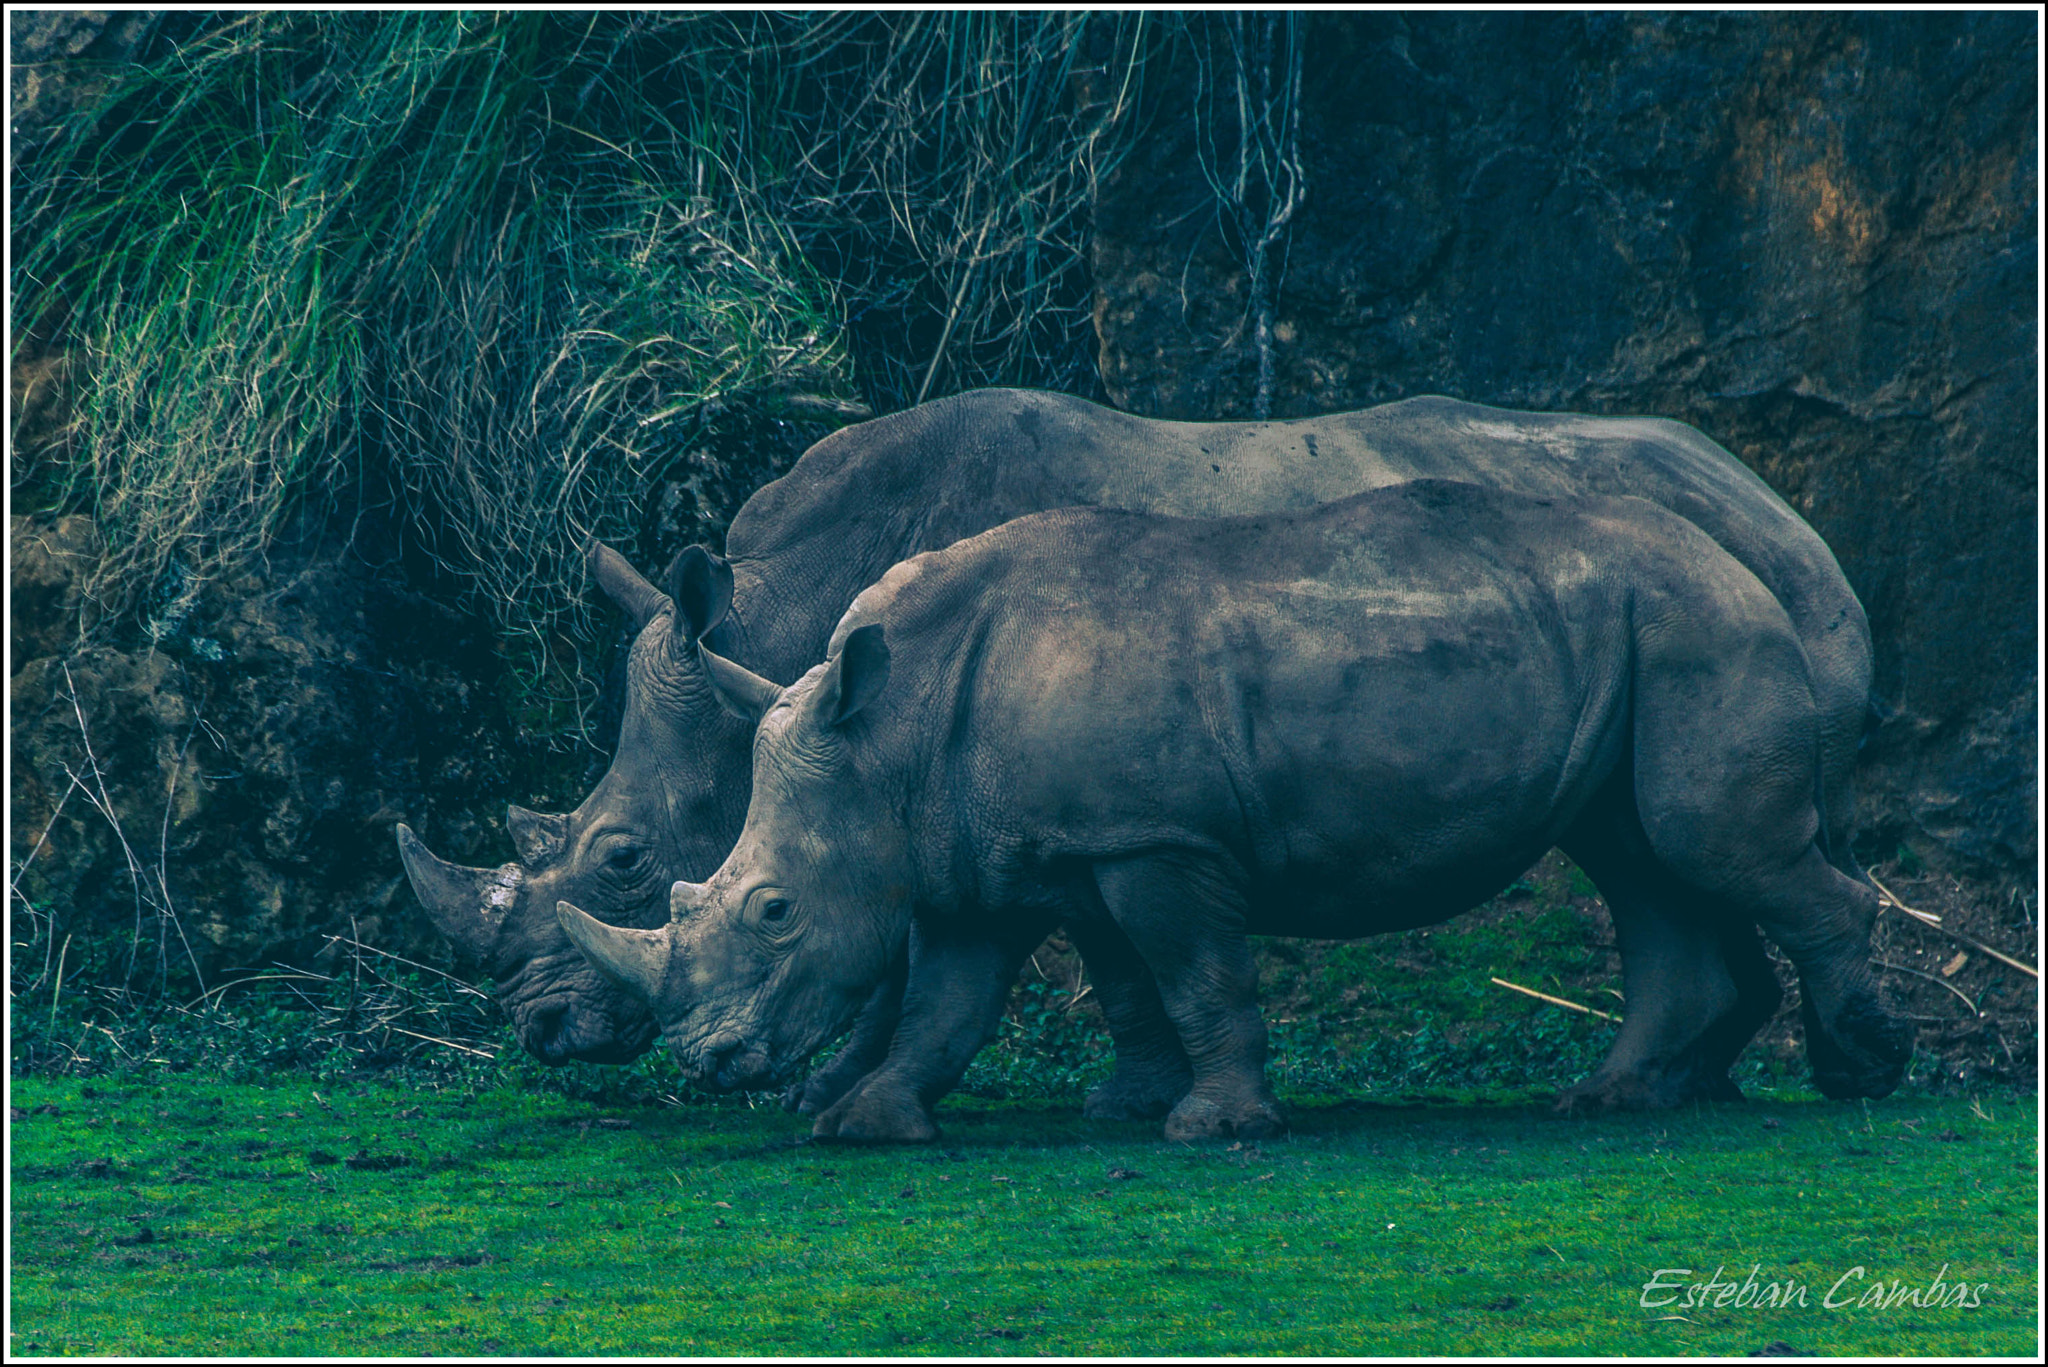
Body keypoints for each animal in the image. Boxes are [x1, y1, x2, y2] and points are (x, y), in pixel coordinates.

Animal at [399, 387, 1875, 1115]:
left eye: (621, 855)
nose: (535, 1030)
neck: (783, 611)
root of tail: (1787, 517)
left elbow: (951, 943)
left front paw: (832, 1079)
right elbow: (1024, 952)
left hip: (1724, 615)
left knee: (1699, 851)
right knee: (1647, 862)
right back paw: (1683, 1082)